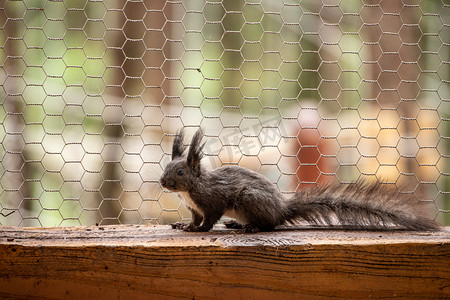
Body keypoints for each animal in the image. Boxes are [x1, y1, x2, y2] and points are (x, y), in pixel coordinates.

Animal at [159, 127, 440, 233]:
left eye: (180, 172)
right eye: (166, 167)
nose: (162, 182)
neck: (192, 189)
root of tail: (281, 209)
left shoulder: (212, 201)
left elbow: (209, 220)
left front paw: (198, 230)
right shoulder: (194, 208)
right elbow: (195, 218)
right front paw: (184, 225)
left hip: (250, 199)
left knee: (269, 225)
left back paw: (251, 228)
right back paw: (237, 224)